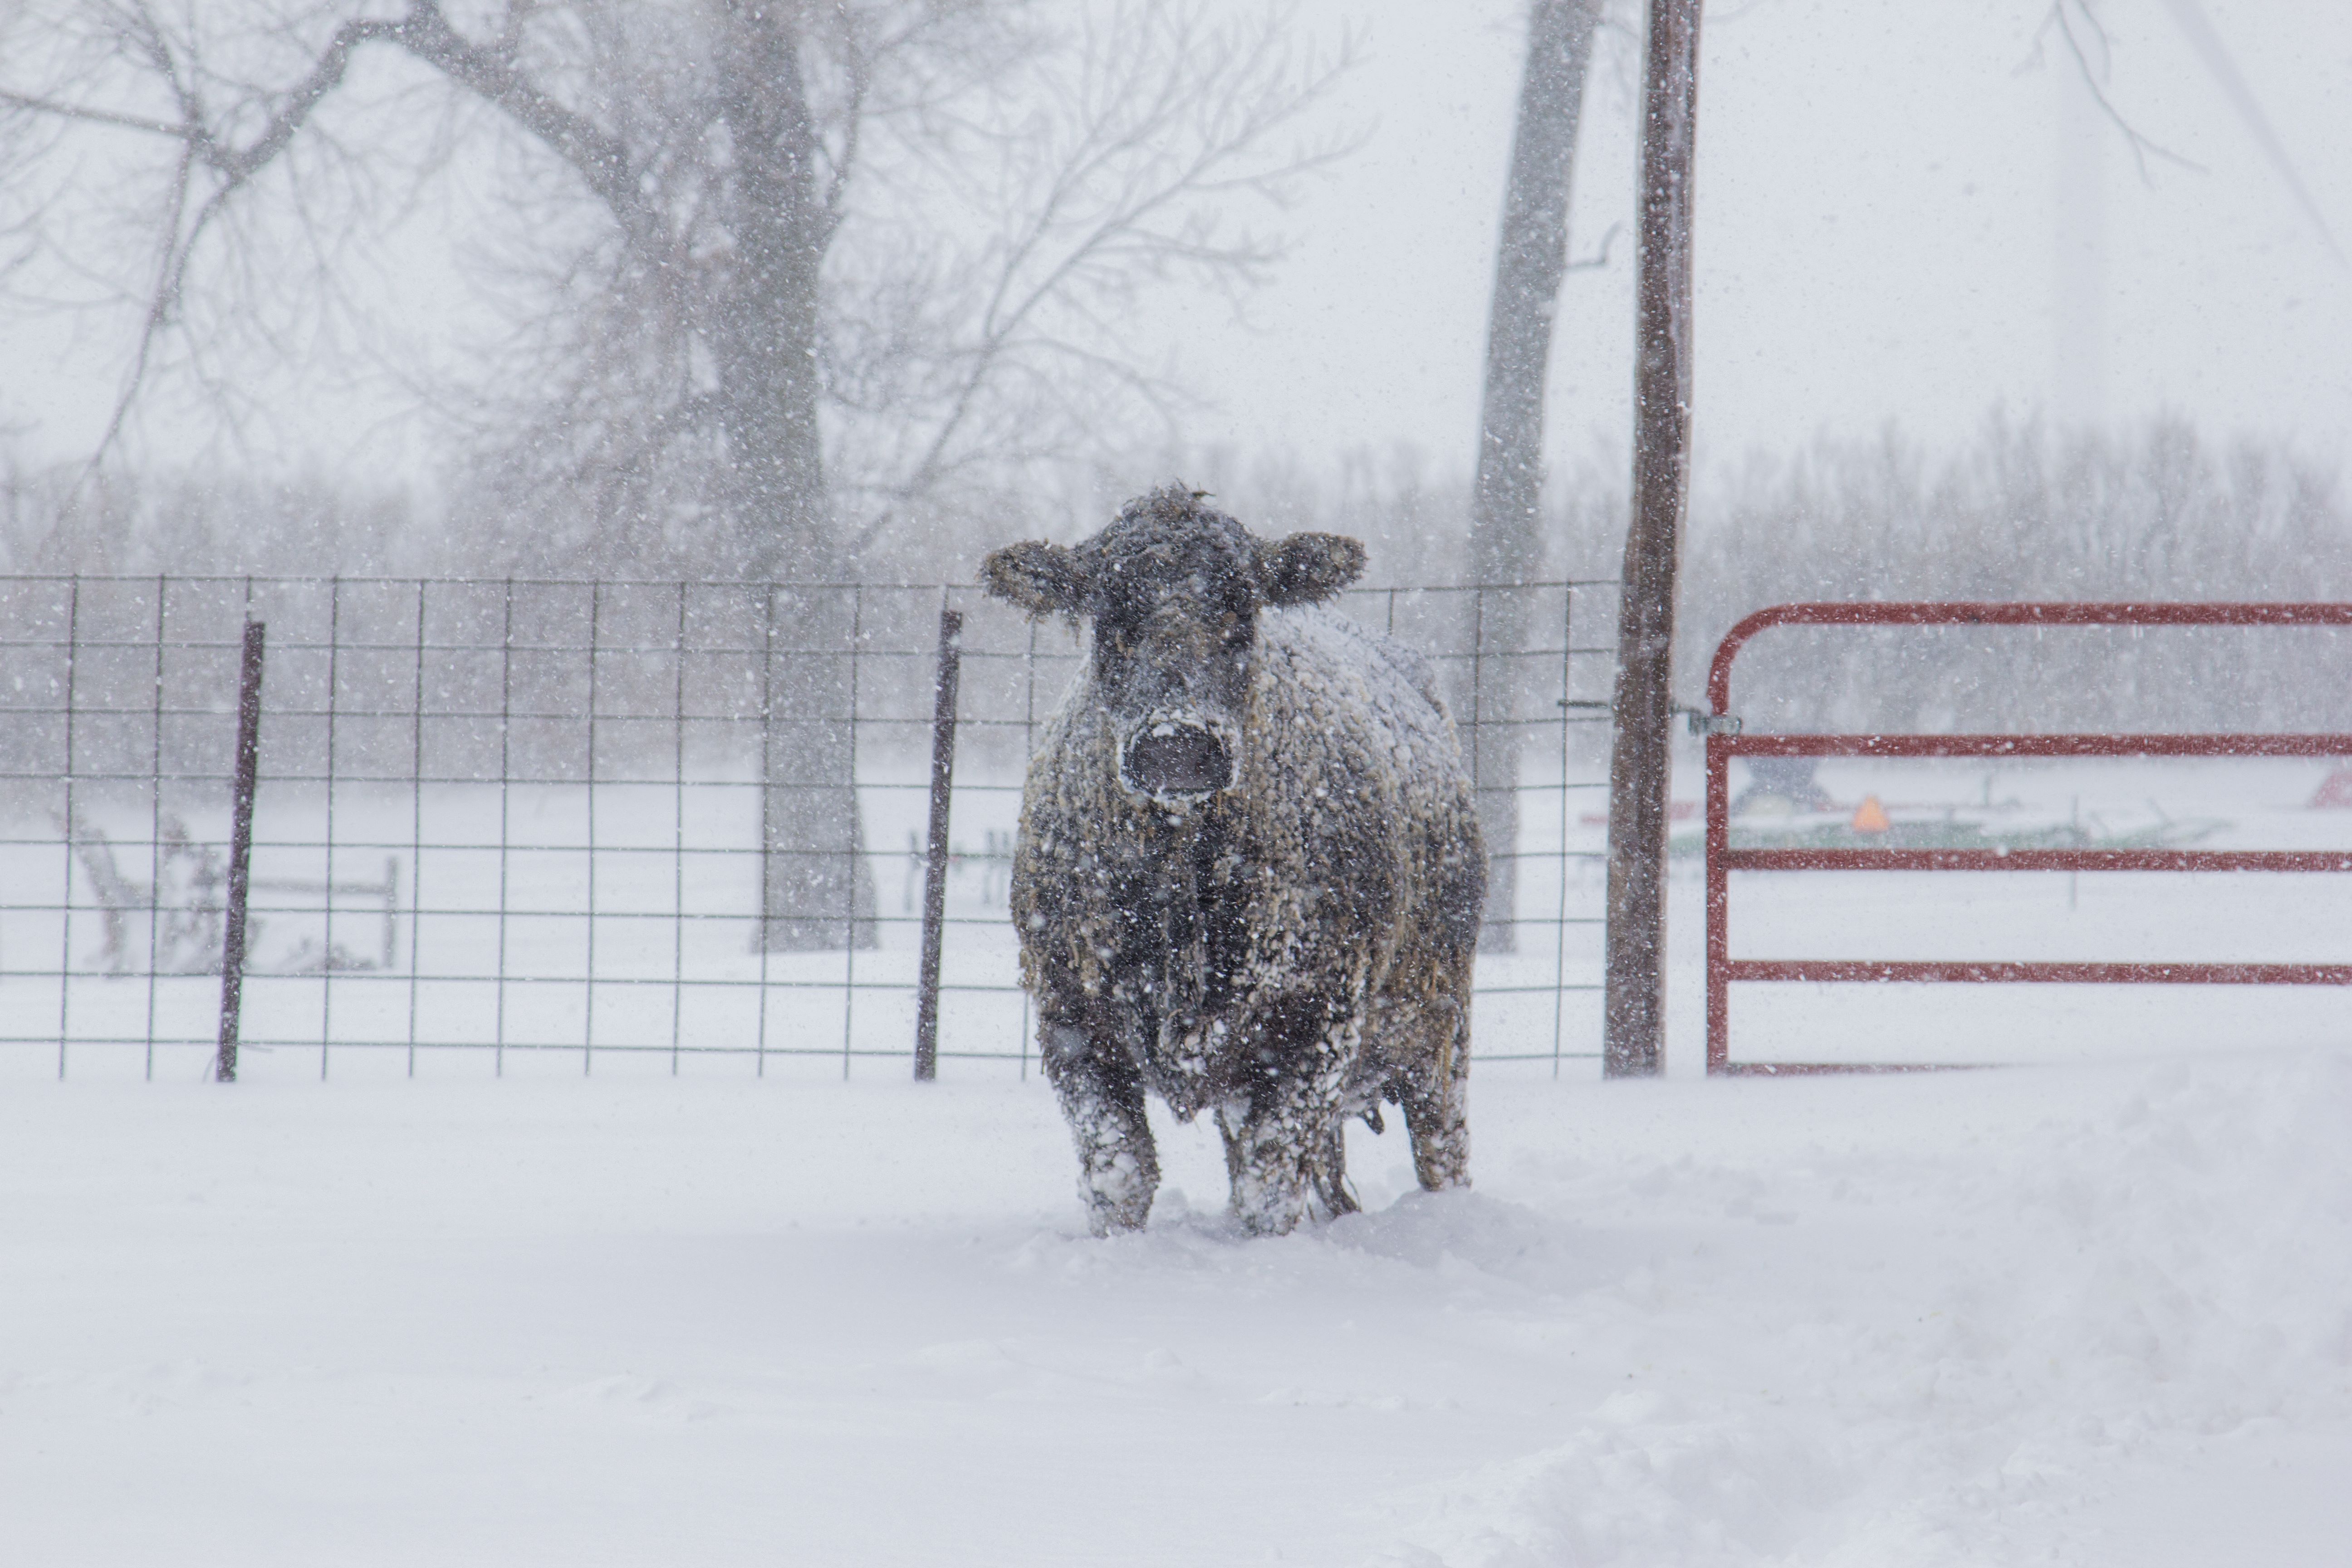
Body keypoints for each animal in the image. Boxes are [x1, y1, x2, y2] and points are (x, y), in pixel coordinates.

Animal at [982, 485, 1486, 1236]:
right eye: (1109, 614)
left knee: (1440, 1152)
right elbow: (1121, 1174)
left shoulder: (1319, 1028)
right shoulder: (1072, 1019)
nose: (1177, 744)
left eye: (1240, 607)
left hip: (1441, 1037)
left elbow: (1267, 1184)